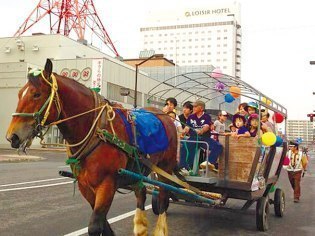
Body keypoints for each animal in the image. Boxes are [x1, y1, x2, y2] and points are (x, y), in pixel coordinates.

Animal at [6, 58, 179, 234]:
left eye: (36, 94)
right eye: (19, 94)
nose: (12, 136)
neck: (96, 130)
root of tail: (166, 116)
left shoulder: (107, 185)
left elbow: (95, 226)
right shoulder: (85, 186)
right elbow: (103, 224)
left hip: (165, 168)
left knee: (163, 198)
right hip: (138, 170)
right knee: (141, 193)